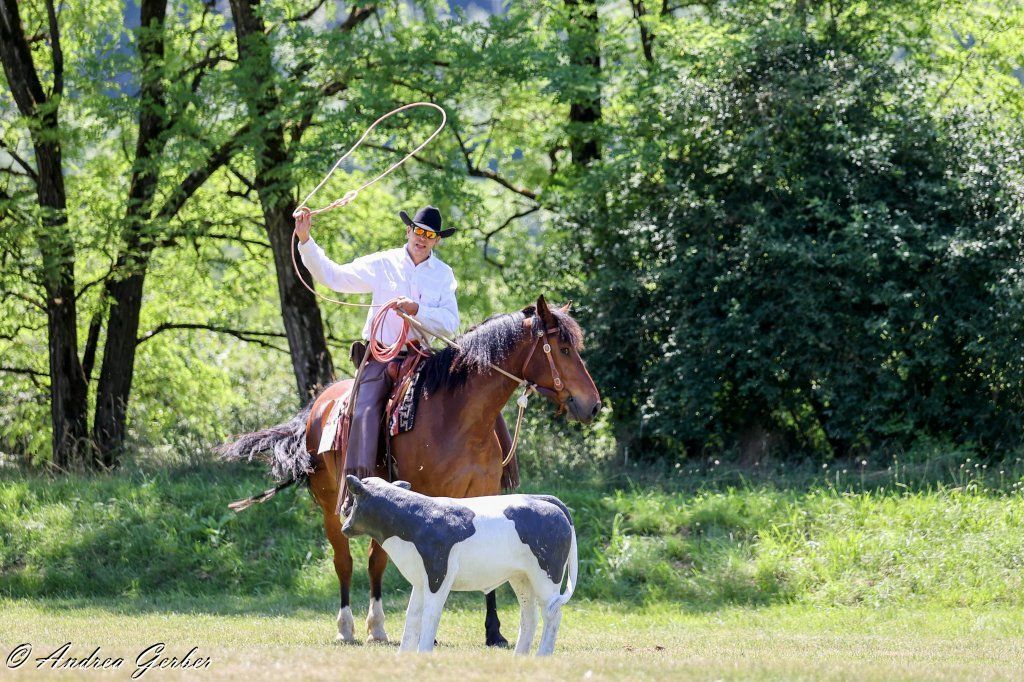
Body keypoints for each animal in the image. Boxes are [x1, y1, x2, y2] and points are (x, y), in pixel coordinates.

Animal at [218, 295, 601, 646]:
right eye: (564, 348)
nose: (594, 405)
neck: (458, 417)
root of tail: (319, 403)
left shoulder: (484, 493)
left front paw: (494, 632)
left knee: (376, 561)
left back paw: (377, 626)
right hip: (332, 506)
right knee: (345, 562)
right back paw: (347, 628)